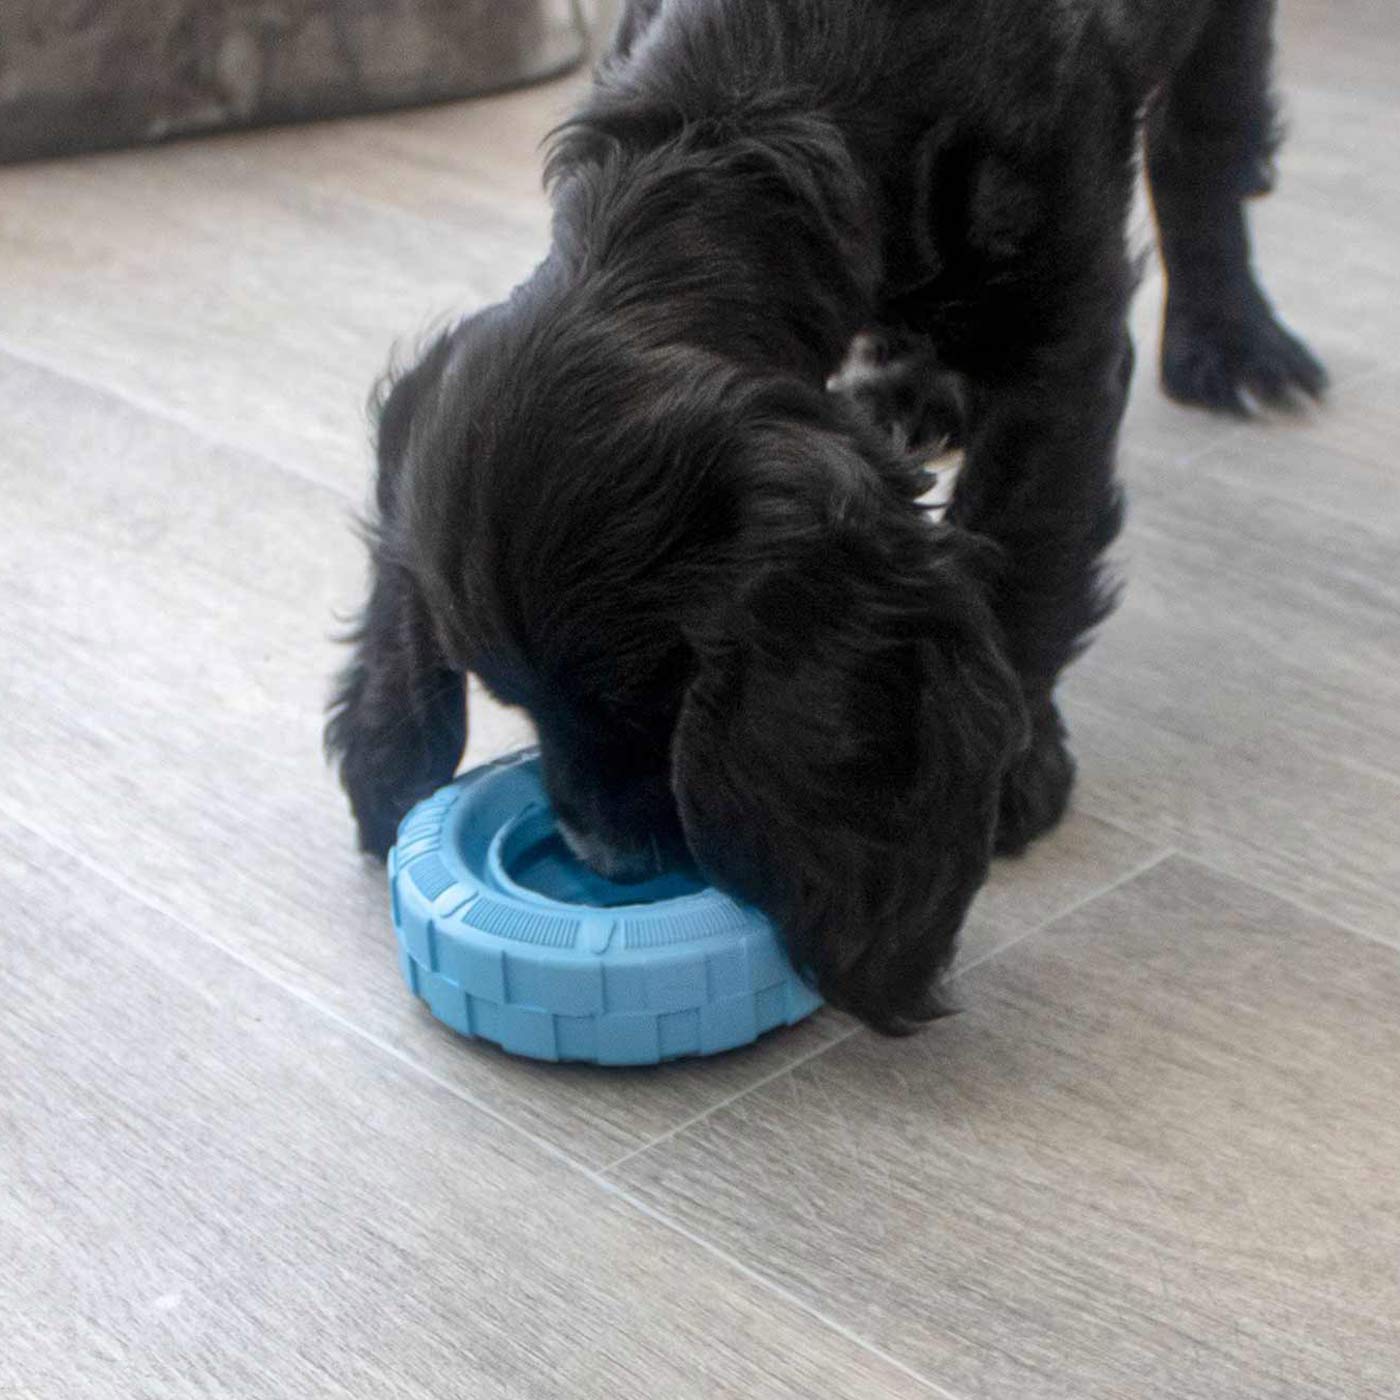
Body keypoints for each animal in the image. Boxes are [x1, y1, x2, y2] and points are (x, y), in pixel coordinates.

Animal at [327, 0, 1325, 1032]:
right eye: (507, 700)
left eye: (664, 696)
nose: (607, 863)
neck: (747, 99)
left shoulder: (1057, 319)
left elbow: (1027, 534)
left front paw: (1016, 772)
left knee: (1207, 140)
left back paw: (1229, 339)